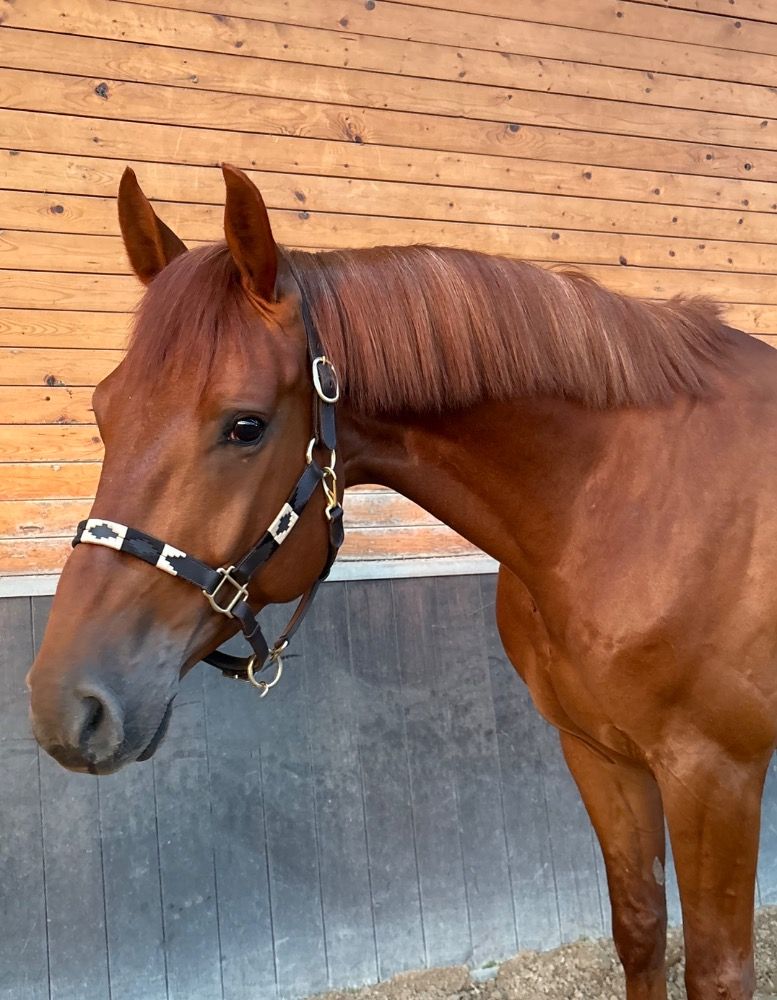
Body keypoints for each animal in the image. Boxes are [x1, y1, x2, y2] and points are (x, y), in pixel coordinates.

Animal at [26, 164, 777, 1000]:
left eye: (246, 425)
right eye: (102, 410)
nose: (68, 703)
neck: (623, 498)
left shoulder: (713, 775)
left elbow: (716, 971)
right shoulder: (597, 753)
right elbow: (640, 929)